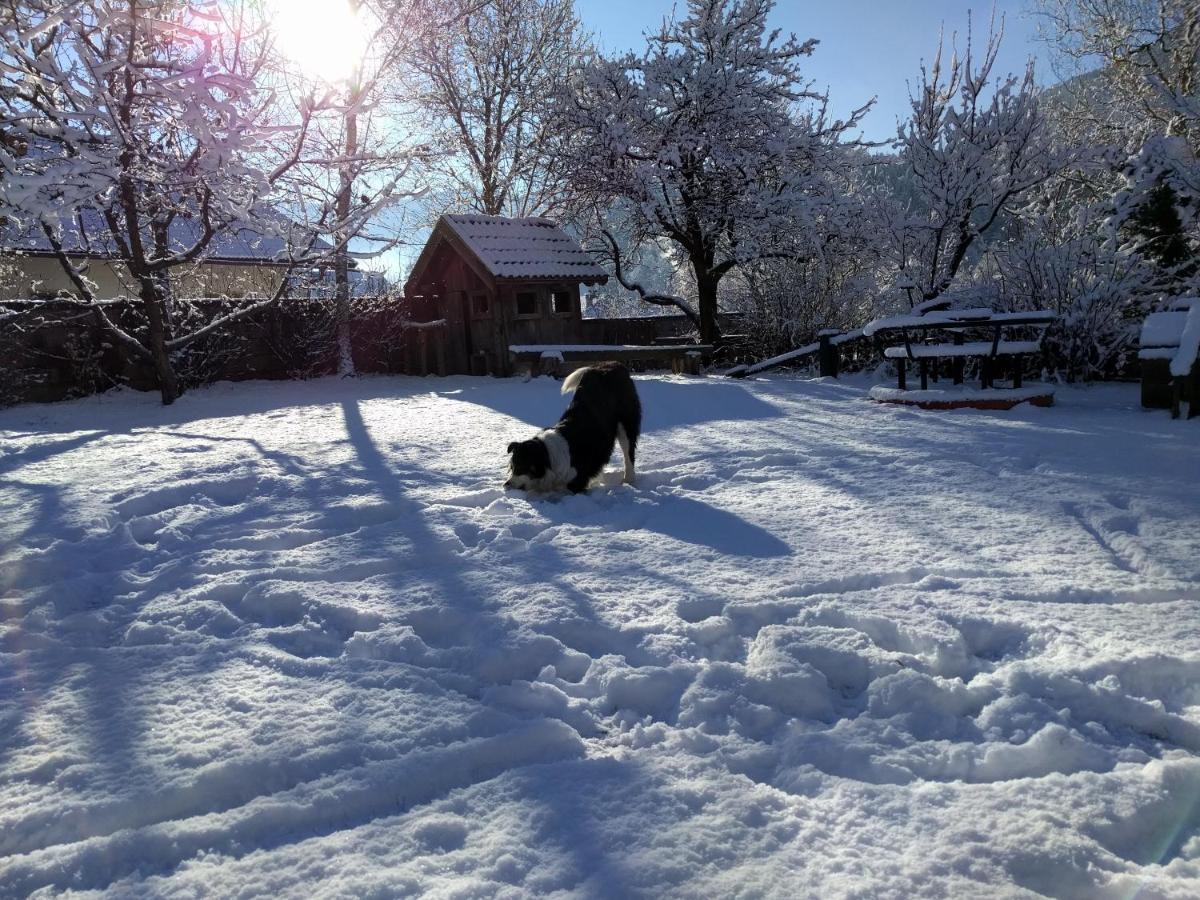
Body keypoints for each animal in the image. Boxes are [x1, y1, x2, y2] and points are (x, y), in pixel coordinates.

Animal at [504, 362, 643, 496]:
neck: (549, 457)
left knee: (628, 452)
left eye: (520, 467)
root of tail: (614, 364)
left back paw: (628, 480)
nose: (506, 484)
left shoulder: (576, 481)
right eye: (511, 467)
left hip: (626, 423)